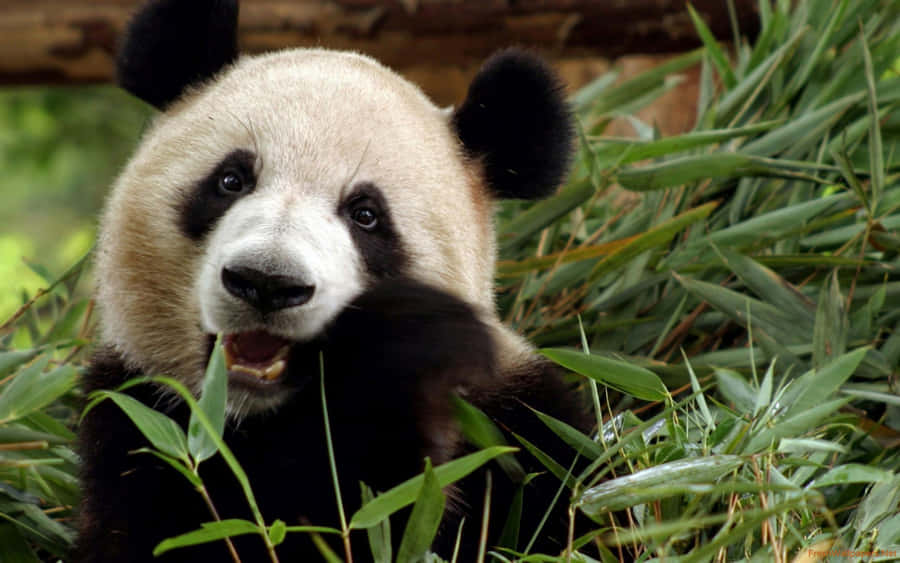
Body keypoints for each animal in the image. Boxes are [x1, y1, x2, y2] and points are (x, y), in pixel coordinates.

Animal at [75, 0, 587, 561]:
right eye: (231, 180)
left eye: (366, 215)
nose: (267, 282)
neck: (255, 417)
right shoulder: (139, 421)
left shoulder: (518, 430)